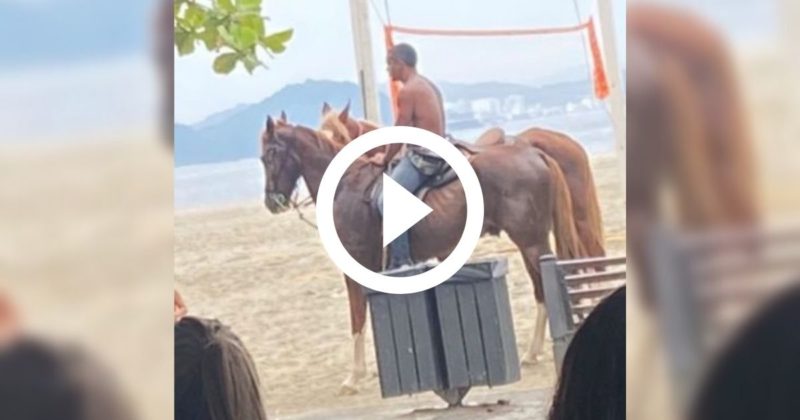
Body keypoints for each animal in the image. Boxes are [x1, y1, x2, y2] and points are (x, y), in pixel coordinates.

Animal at [260, 117, 584, 393]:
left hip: (531, 242)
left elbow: (357, 316)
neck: (346, 187)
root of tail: (534, 153)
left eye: (270, 154)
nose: (272, 202)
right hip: (530, 241)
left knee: (548, 284)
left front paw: (354, 377)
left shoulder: (356, 265)